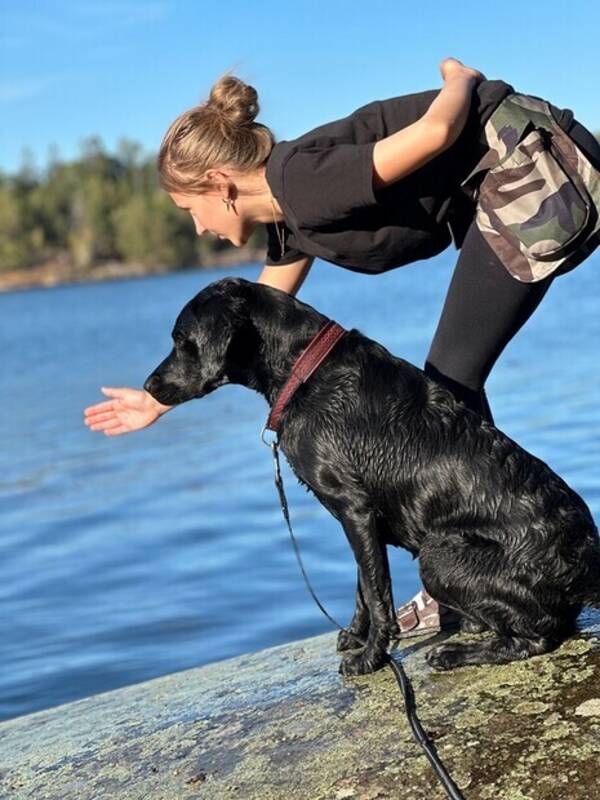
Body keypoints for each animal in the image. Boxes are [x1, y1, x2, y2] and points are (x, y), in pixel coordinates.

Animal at [144, 278, 600, 672]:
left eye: (181, 340)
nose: (148, 386)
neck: (302, 370)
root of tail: (585, 562)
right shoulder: (360, 519)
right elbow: (364, 584)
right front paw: (357, 636)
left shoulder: (354, 509)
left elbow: (377, 592)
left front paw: (371, 658)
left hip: (440, 554)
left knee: (537, 636)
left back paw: (454, 652)